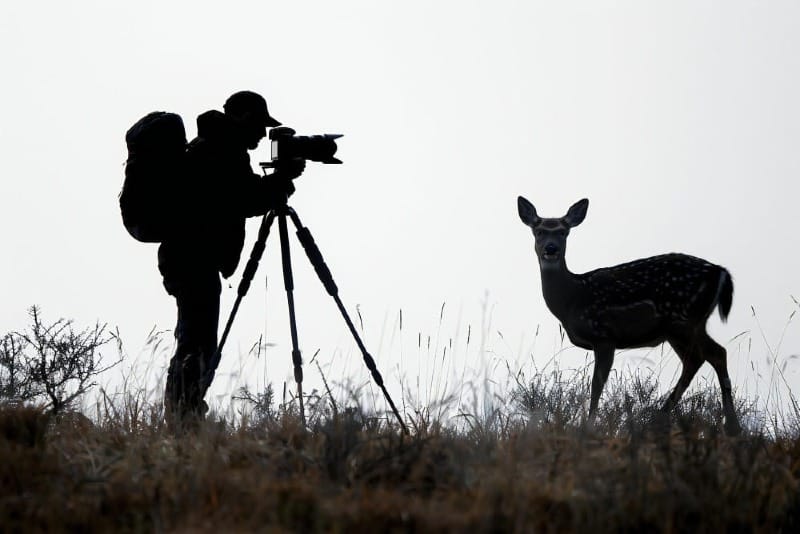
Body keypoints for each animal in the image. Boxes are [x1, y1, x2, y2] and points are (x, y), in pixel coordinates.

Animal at [516, 197, 740, 436]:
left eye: (563, 232)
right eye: (538, 231)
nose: (551, 248)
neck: (572, 299)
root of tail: (720, 272)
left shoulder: (604, 335)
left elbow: (597, 384)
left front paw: (589, 427)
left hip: (684, 319)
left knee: (715, 353)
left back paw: (730, 426)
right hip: (680, 327)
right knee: (697, 359)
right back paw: (659, 418)